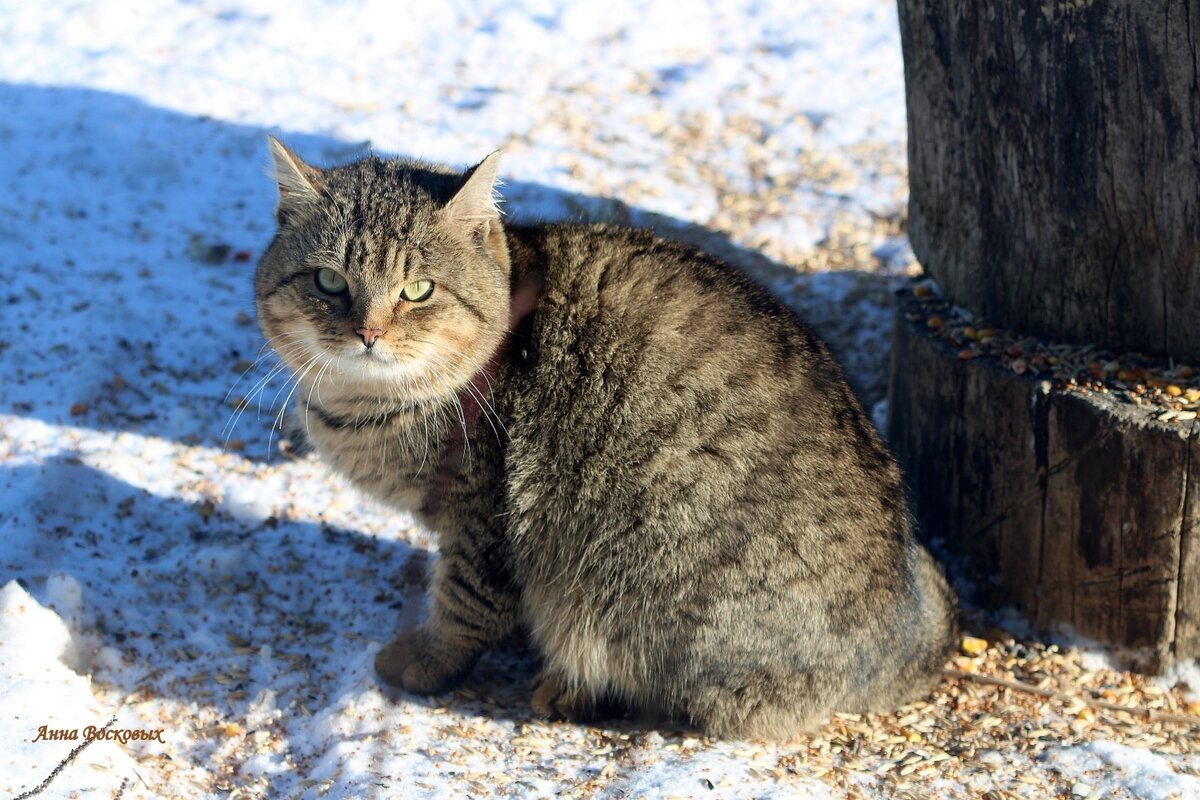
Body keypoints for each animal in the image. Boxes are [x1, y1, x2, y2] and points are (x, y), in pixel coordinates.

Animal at [253, 139, 955, 738]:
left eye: (417, 289)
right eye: (330, 282)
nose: (368, 333)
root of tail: (900, 635)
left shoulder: (485, 518)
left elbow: (462, 607)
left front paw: (422, 663)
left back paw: (571, 689)